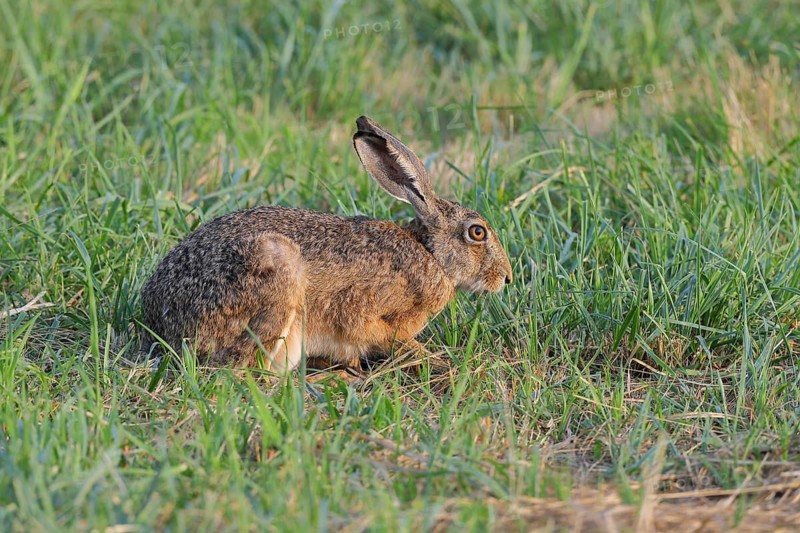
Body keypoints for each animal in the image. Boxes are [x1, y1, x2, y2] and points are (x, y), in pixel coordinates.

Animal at [140, 116, 513, 372]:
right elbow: (367, 327)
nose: (506, 278)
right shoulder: (361, 304)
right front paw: (425, 355)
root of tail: (159, 321)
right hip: (277, 279)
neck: (430, 254)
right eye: (477, 232)